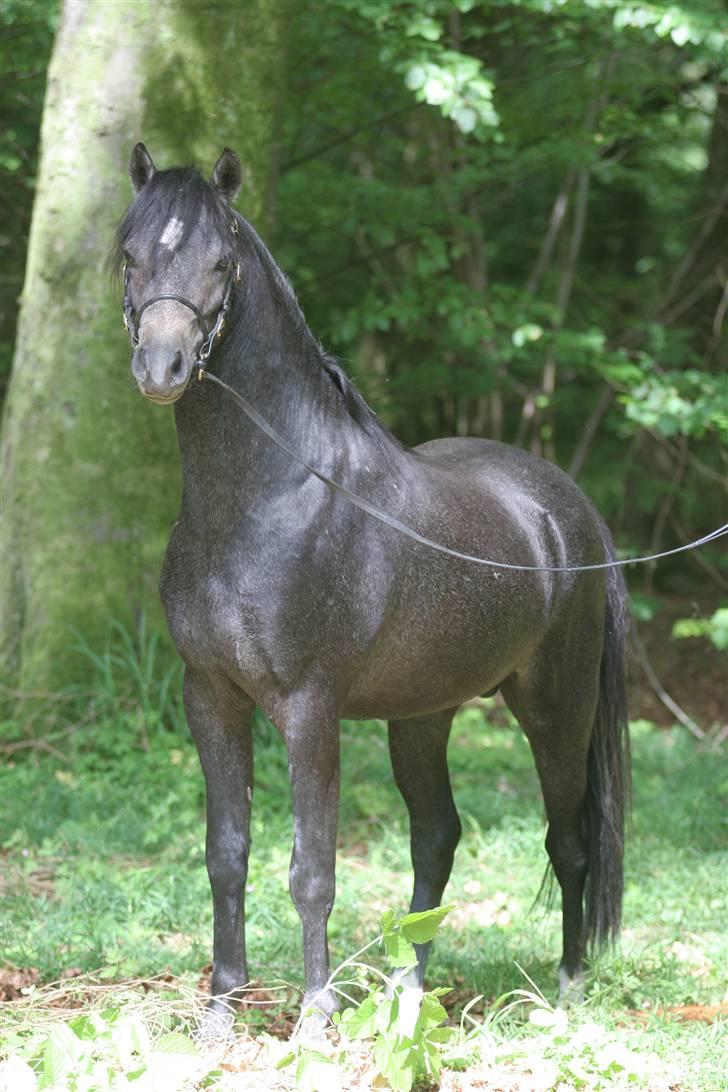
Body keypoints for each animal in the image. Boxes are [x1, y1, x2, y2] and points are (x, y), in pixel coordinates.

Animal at [115, 144, 630, 1037]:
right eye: (130, 254)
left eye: (220, 261)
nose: (162, 368)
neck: (267, 498)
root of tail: (570, 512)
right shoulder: (210, 696)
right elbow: (227, 856)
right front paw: (221, 1010)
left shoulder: (310, 708)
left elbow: (311, 870)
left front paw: (315, 1019)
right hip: (422, 715)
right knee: (438, 837)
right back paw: (407, 993)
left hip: (556, 712)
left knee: (569, 842)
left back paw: (565, 989)